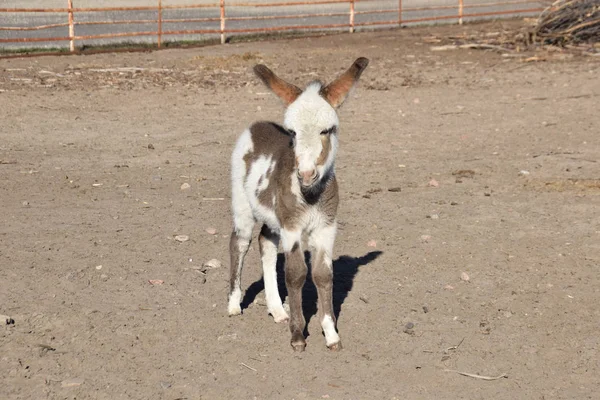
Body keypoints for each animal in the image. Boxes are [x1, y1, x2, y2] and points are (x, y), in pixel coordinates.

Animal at [227, 56, 368, 350]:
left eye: (327, 130)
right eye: (292, 132)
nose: (305, 174)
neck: (311, 196)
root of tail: (257, 125)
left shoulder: (326, 227)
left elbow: (323, 274)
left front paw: (331, 334)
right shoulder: (292, 227)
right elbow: (295, 273)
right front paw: (297, 336)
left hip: (272, 216)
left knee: (266, 243)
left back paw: (277, 309)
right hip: (242, 203)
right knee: (240, 242)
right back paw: (234, 304)